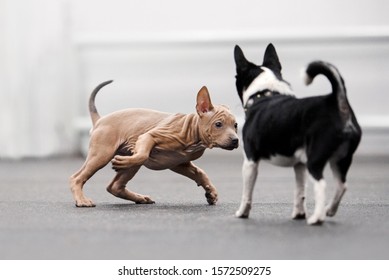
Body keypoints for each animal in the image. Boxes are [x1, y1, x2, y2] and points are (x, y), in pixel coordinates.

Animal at [70, 80, 239, 207]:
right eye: (218, 124)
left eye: (236, 125)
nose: (236, 140)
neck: (192, 131)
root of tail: (100, 119)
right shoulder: (149, 136)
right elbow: (143, 155)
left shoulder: (178, 163)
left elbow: (200, 172)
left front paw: (211, 192)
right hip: (101, 154)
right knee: (76, 178)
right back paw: (82, 200)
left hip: (125, 161)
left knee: (114, 186)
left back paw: (139, 198)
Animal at [233, 43, 360, 225]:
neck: (265, 93)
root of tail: (337, 102)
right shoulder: (299, 165)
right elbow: (300, 191)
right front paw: (299, 214)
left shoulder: (250, 161)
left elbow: (247, 193)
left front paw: (242, 213)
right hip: (341, 159)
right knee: (341, 185)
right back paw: (329, 210)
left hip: (316, 160)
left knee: (321, 185)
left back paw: (317, 218)